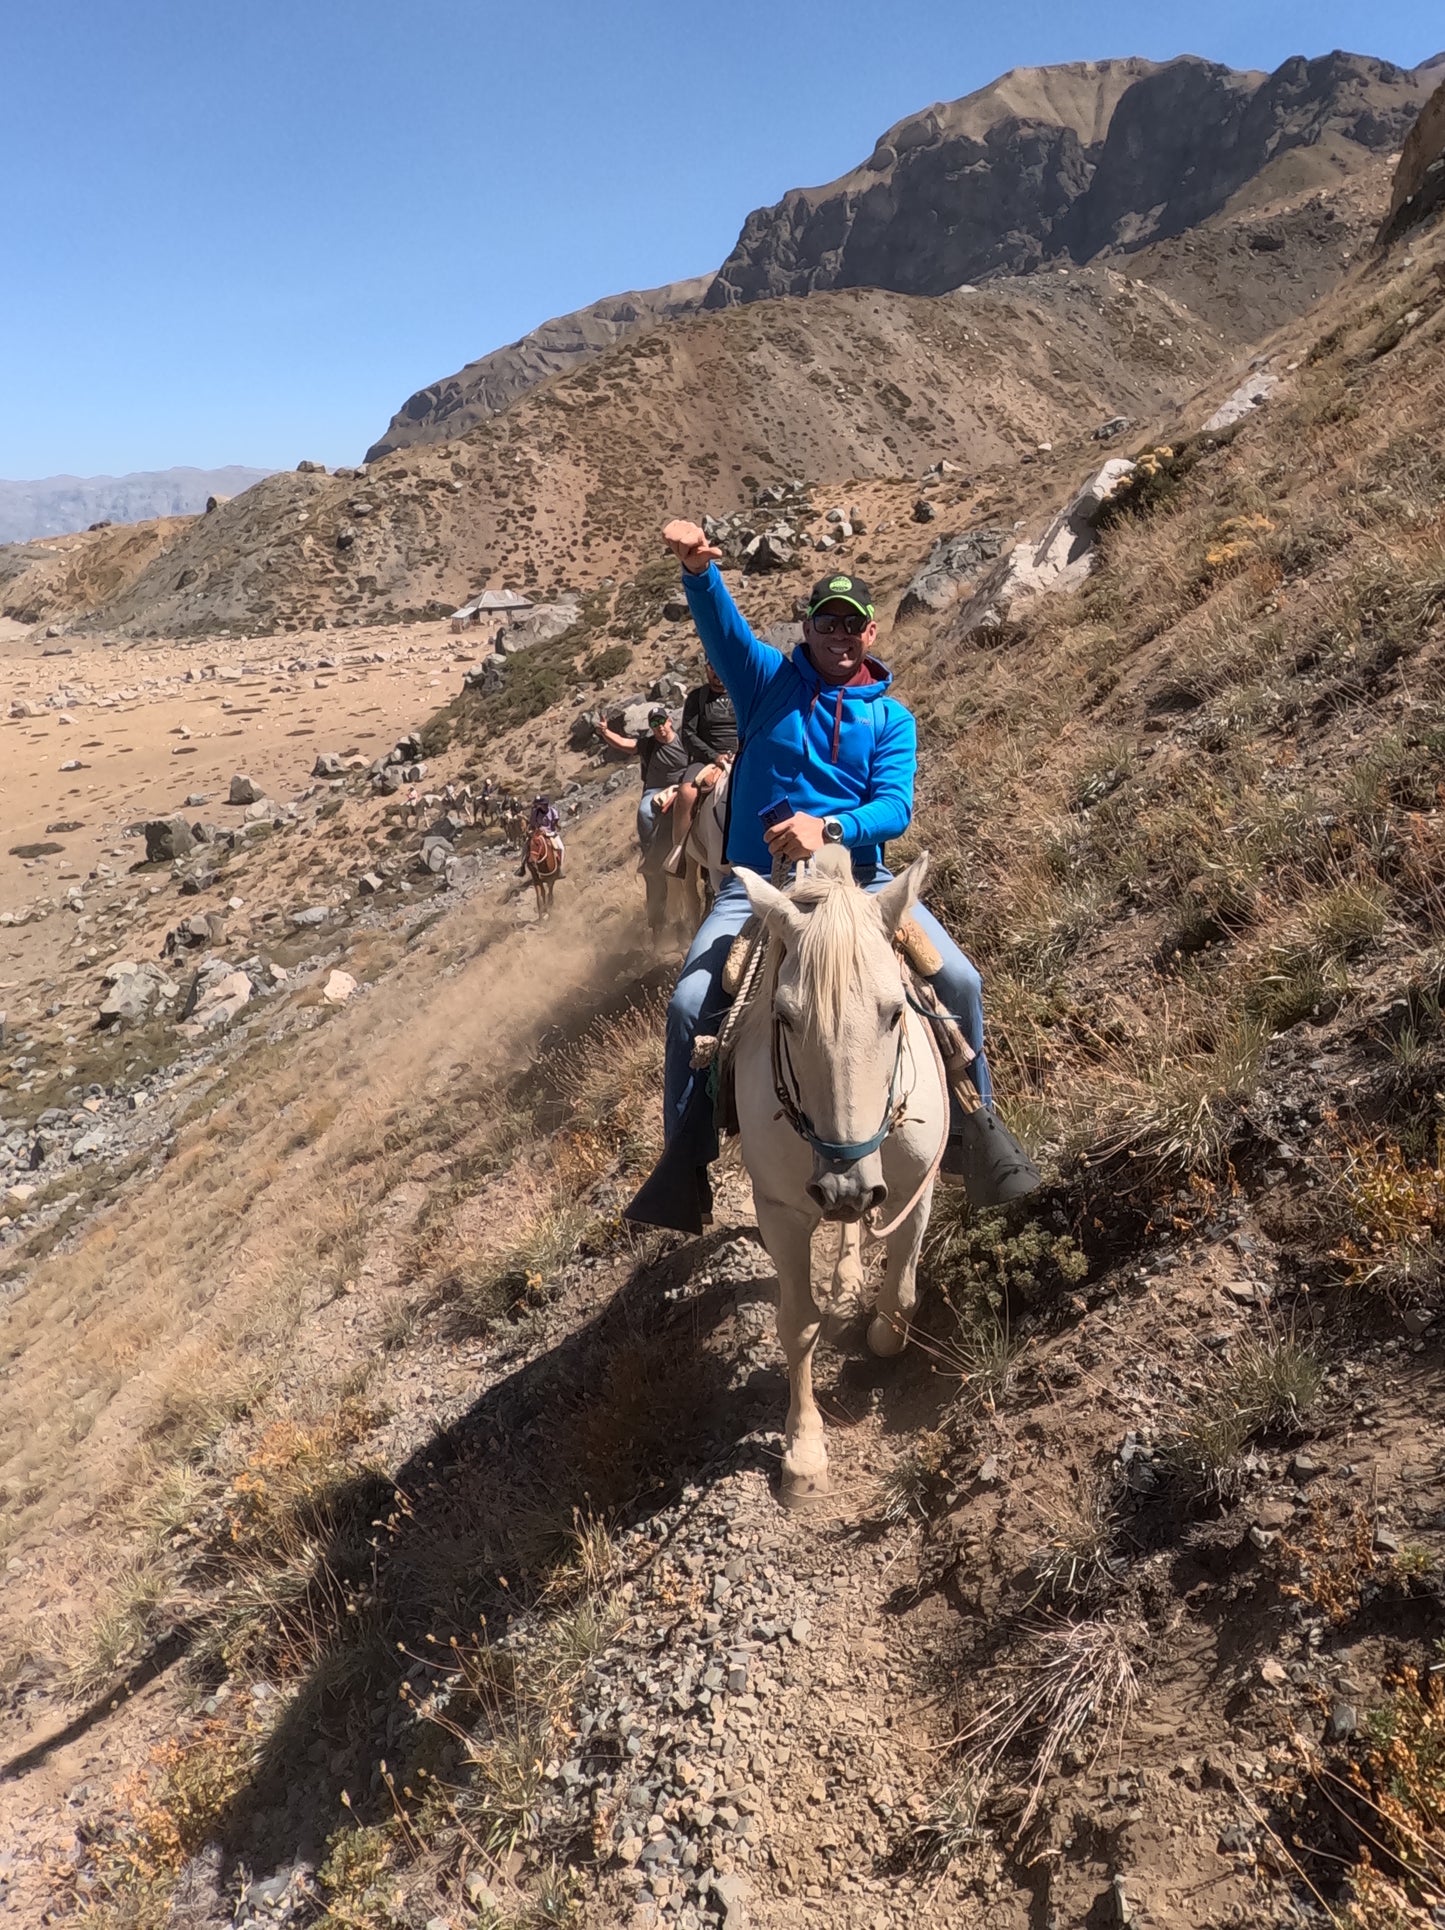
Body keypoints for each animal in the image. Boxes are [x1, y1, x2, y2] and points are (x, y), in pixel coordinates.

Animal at [733, 849, 945, 1505]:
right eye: (783, 1016)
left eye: (897, 1011)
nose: (843, 1184)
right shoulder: (779, 1212)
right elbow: (797, 1324)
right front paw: (804, 1454)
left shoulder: (913, 1189)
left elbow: (900, 1295)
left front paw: (878, 1340)